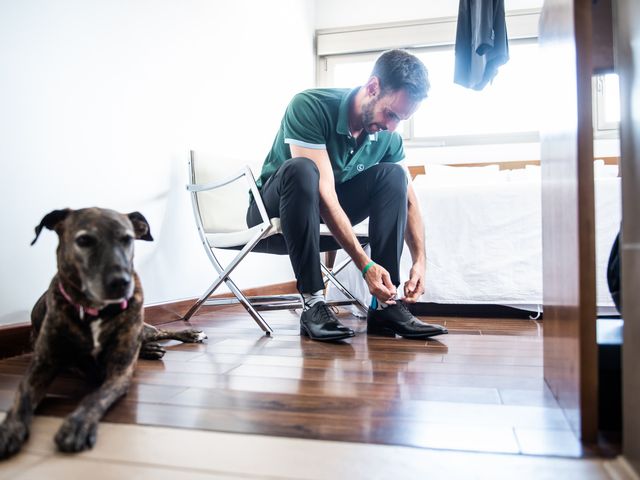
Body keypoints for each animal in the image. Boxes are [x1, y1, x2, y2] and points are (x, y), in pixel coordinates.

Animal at [0, 209, 206, 458]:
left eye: (127, 239)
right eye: (83, 240)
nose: (121, 282)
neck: (94, 310)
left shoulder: (118, 374)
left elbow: (94, 397)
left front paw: (77, 425)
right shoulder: (41, 366)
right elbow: (22, 396)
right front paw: (10, 429)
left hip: (142, 328)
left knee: (161, 331)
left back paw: (189, 335)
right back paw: (151, 350)